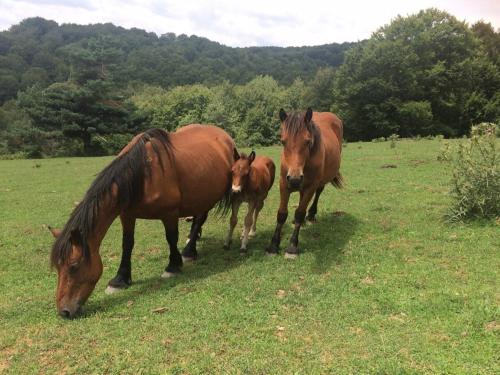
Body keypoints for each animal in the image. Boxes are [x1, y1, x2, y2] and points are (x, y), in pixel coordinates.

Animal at [48, 125, 234, 318]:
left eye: (74, 266)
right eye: (57, 268)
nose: (64, 311)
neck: (142, 174)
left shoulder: (169, 213)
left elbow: (171, 238)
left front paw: (173, 267)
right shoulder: (127, 215)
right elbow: (127, 244)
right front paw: (120, 279)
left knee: (199, 219)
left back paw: (189, 251)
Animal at [266, 108, 344, 258]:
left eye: (308, 142)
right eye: (283, 141)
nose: (295, 179)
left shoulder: (310, 187)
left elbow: (300, 213)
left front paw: (292, 246)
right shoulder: (284, 184)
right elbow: (281, 214)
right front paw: (273, 245)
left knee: (318, 193)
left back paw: (311, 214)